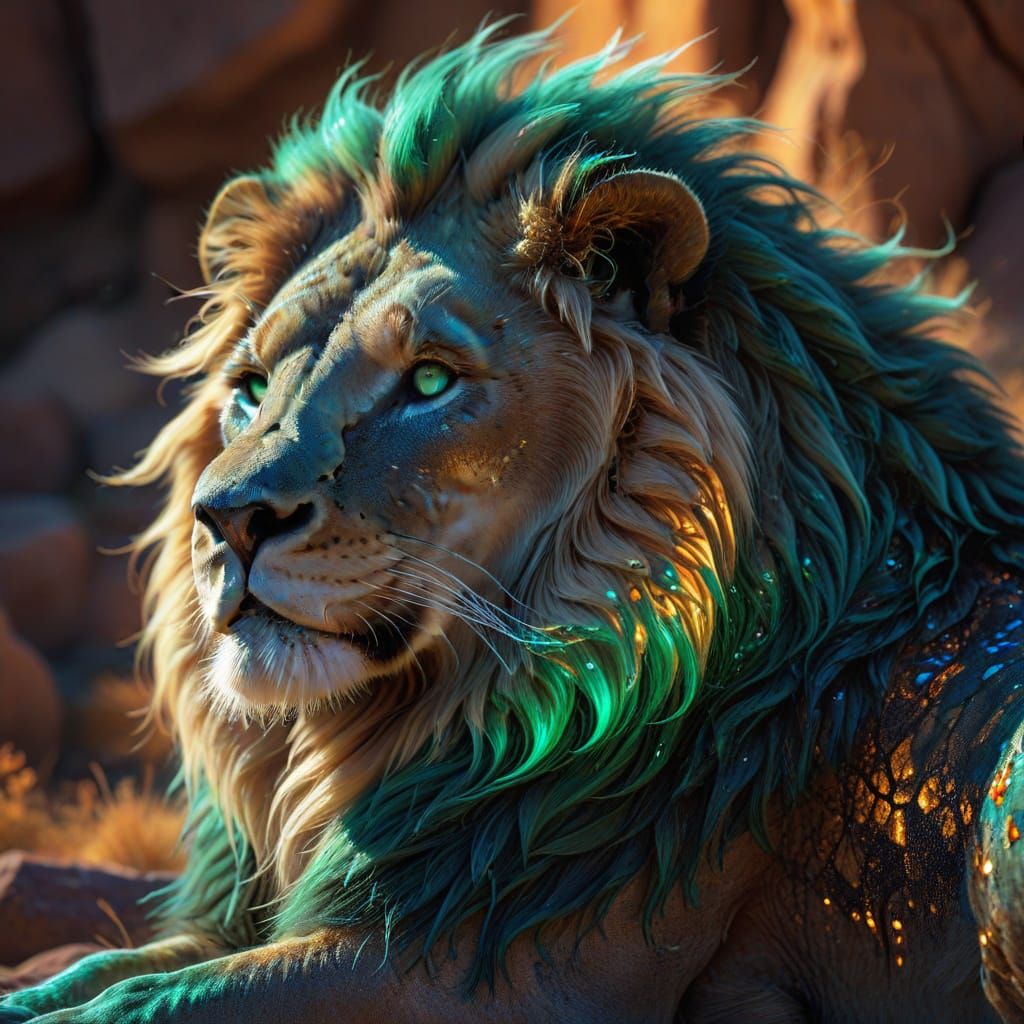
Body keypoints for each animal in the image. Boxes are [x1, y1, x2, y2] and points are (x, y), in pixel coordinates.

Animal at [4, 23, 1024, 1024]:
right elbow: (99, 975)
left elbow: (149, 1000)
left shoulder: (497, 966)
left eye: (429, 380)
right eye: (251, 388)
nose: (229, 519)